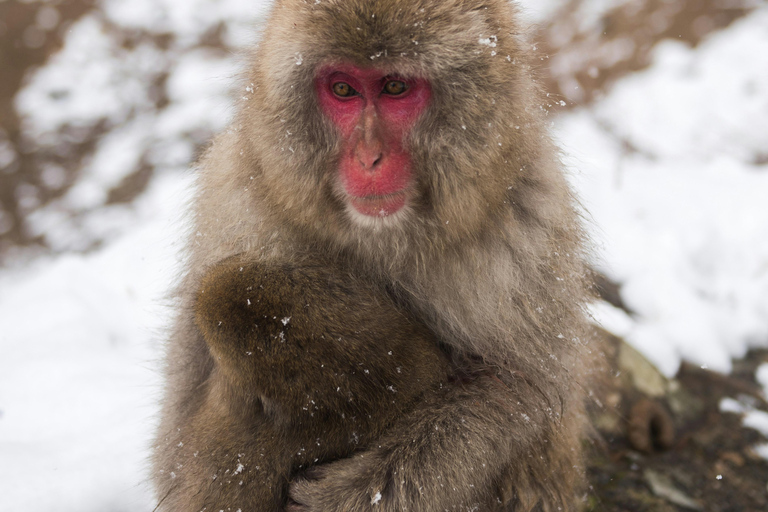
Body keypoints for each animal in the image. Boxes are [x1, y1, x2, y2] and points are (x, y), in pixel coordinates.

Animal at [153, 0, 597, 511]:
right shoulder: (233, 203)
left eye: (395, 87)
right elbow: (175, 443)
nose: (368, 160)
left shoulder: (532, 222)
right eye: (344, 89)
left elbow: (518, 394)